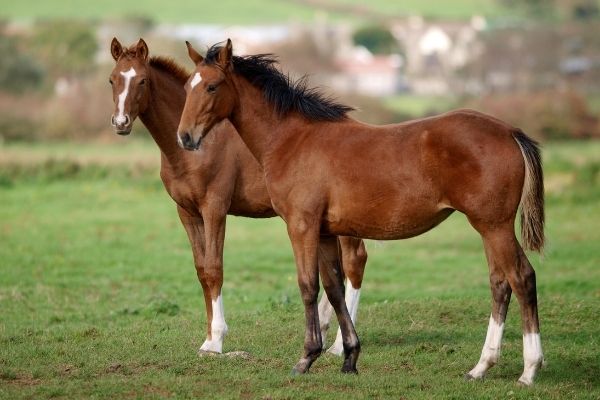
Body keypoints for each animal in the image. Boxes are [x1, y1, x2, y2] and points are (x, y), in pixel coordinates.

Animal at [109, 37, 368, 354]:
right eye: (112, 80)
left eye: (142, 81)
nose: (121, 122)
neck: (197, 150)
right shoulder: (187, 212)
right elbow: (201, 270)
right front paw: (208, 338)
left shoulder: (214, 208)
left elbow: (214, 268)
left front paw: (217, 340)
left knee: (354, 262)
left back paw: (340, 345)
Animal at [176, 39, 548, 384]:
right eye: (187, 87)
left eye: (212, 86)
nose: (185, 137)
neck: (291, 139)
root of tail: (510, 132)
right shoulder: (325, 231)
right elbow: (334, 288)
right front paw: (349, 357)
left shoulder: (301, 225)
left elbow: (308, 286)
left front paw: (306, 358)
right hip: (487, 227)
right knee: (500, 283)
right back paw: (481, 367)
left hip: (494, 225)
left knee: (521, 278)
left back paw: (529, 370)